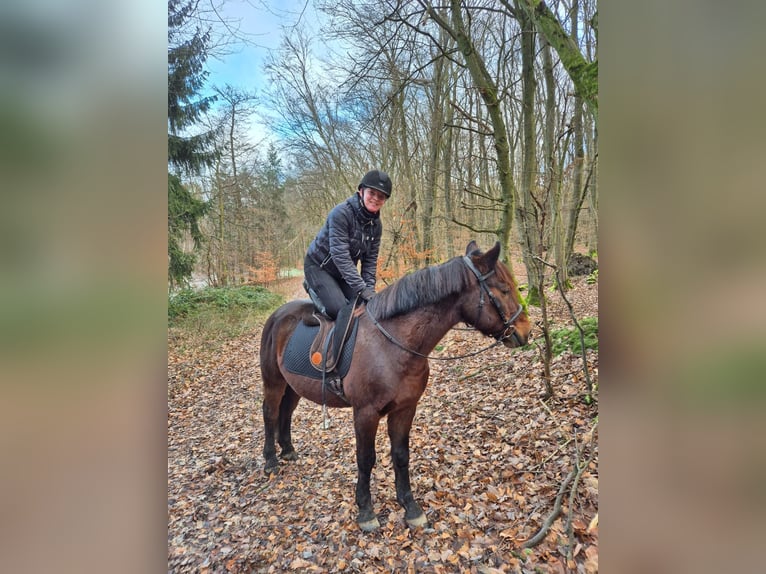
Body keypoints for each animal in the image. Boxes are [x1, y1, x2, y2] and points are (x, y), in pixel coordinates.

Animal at [260, 241, 532, 532]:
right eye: (503, 289)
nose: (526, 331)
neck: (393, 344)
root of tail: (277, 316)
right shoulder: (365, 413)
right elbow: (366, 459)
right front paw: (366, 511)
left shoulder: (405, 408)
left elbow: (401, 455)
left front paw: (410, 507)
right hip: (274, 381)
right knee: (270, 413)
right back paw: (271, 461)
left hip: (293, 386)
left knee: (286, 412)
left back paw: (288, 450)